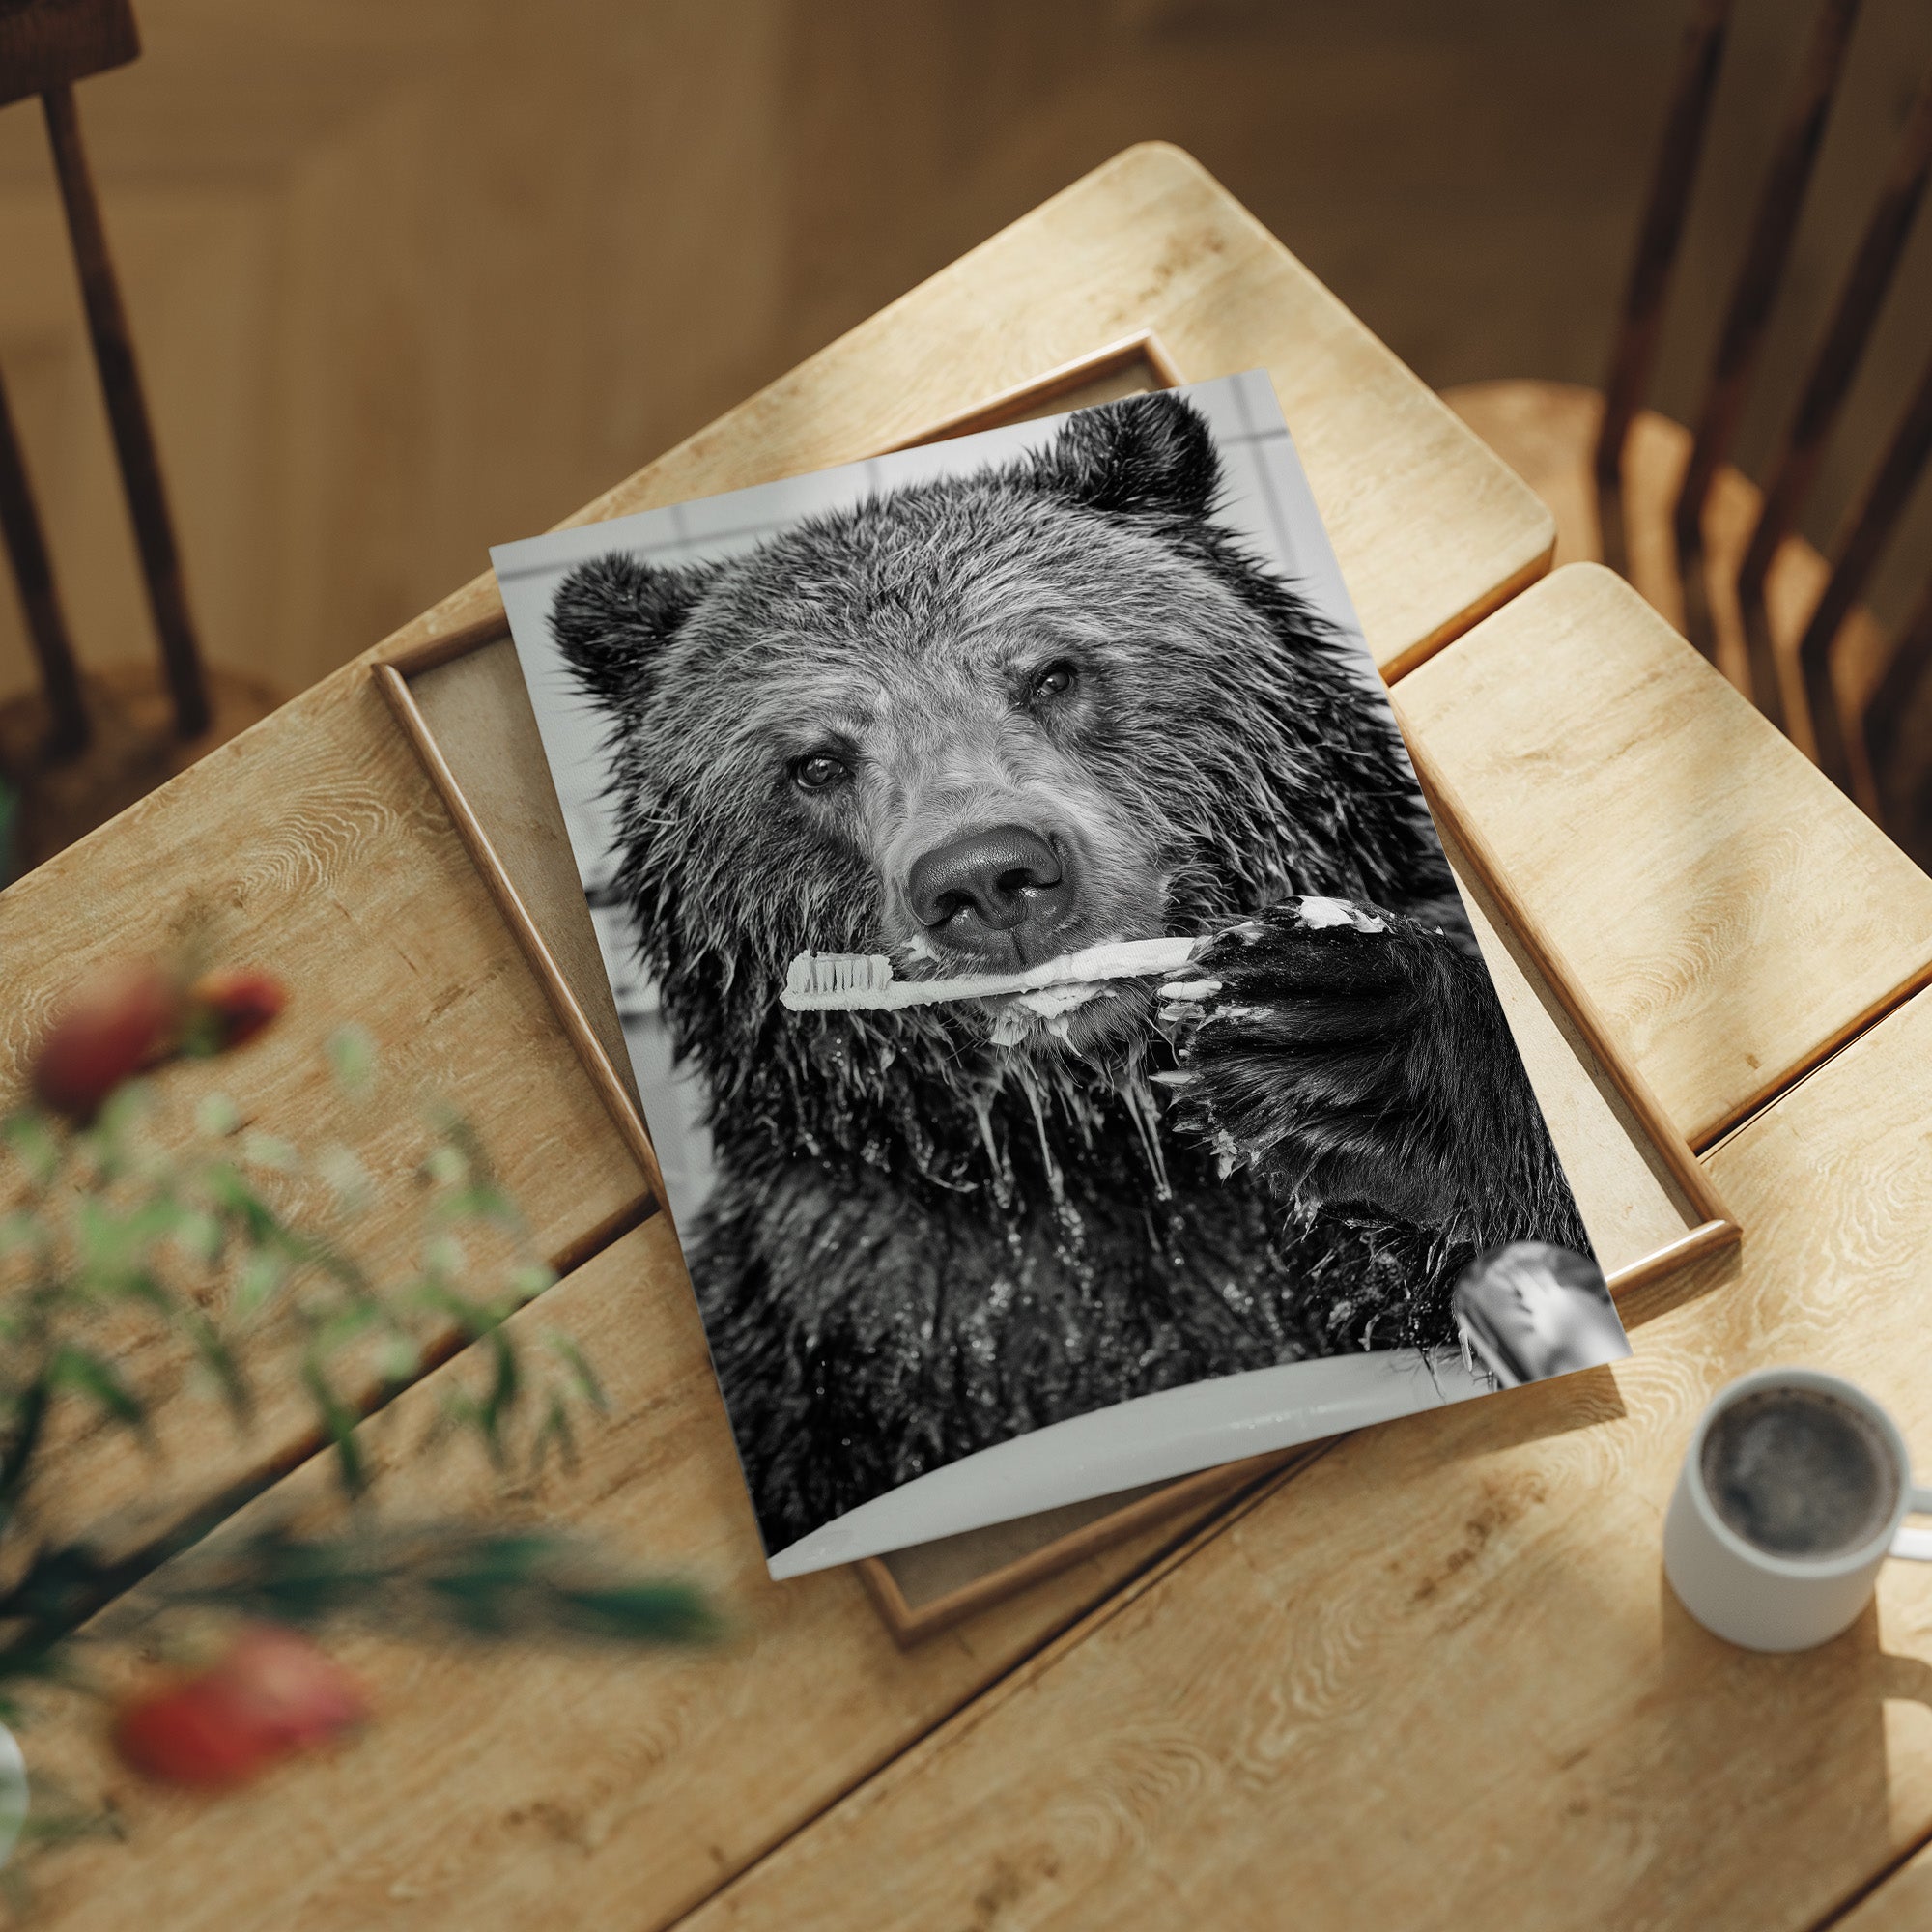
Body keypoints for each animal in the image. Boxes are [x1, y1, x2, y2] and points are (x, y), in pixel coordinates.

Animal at [550, 390, 1592, 1557]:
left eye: (1051, 673)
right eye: (816, 761)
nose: (988, 874)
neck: (1101, 1138)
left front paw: (1347, 1042)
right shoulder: (857, 1310)